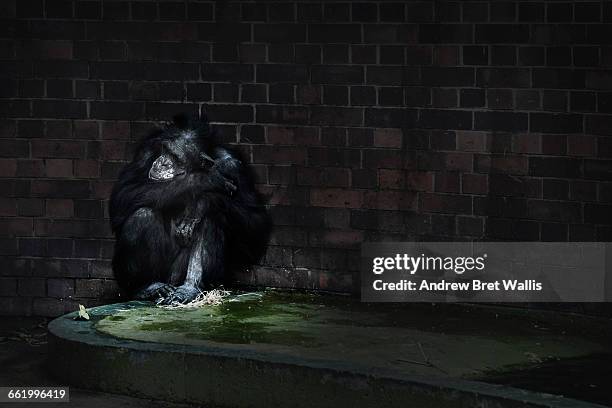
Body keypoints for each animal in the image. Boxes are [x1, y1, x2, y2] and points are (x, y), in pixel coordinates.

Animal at [109, 113, 270, 304]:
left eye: (175, 157)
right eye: (165, 150)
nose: (162, 162)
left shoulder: (235, 166)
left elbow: (255, 225)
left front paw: (204, 201)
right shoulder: (146, 149)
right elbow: (123, 194)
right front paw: (206, 180)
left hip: (181, 275)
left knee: (212, 216)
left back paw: (190, 287)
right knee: (142, 215)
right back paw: (148, 287)